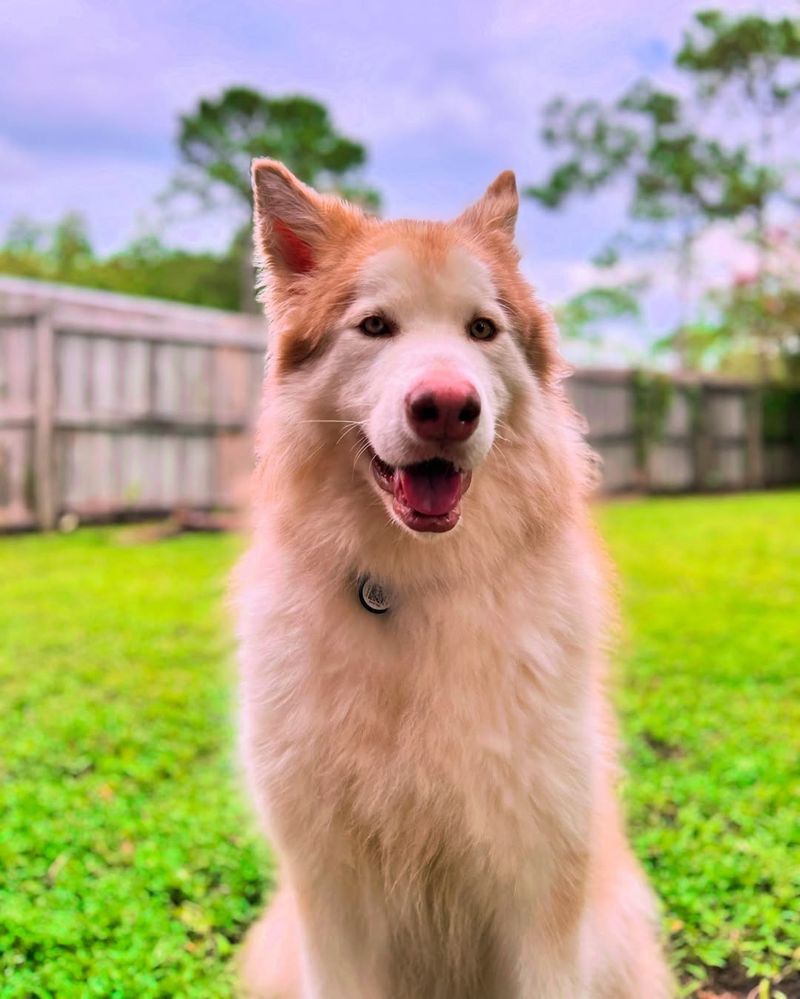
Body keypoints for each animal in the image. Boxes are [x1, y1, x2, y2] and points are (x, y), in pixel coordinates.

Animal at [234, 160, 672, 996]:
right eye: (376, 326)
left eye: (482, 330)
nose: (445, 407)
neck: (407, 587)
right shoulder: (331, 905)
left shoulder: (542, 895)